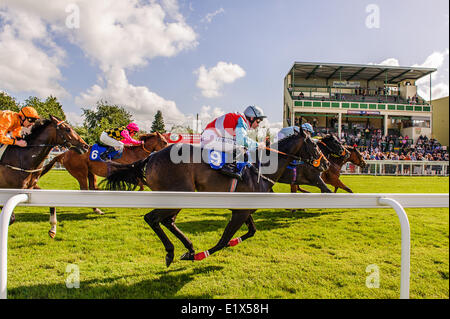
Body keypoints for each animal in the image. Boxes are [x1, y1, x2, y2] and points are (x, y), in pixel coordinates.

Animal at [37, 132, 168, 238]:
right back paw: (96, 209)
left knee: (93, 188)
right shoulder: (127, 175)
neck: (135, 154)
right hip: (81, 172)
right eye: (165, 141)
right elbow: (144, 185)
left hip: (91, 173)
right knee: (85, 189)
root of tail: (64, 154)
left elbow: (143, 185)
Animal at [103, 129, 326, 268]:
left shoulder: (243, 210)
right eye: (316, 146)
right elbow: (222, 241)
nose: (324, 165)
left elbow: (251, 231)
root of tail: (150, 157)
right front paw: (202, 255)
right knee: (152, 218)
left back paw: (188, 248)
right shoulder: (240, 212)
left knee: (167, 220)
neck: (261, 169)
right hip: (180, 194)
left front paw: (230, 243)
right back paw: (174, 252)